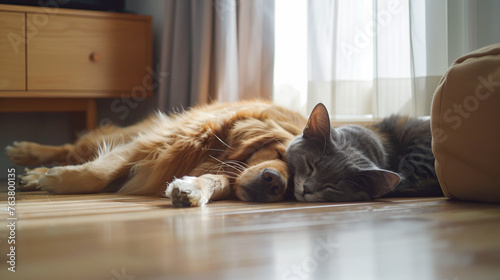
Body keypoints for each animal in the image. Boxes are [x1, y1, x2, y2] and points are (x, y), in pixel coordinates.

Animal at [5, 100, 306, 206]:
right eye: (280, 154)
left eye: (295, 185)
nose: (275, 182)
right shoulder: (157, 141)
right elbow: (101, 171)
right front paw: (57, 179)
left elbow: (216, 181)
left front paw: (193, 190)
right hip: (126, 134)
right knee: (75, 149)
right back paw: (27, 156)